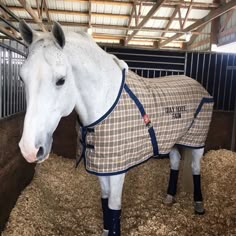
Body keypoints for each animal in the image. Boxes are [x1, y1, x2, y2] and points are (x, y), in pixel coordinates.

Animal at [18, 21, 212, 235]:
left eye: (61, 80)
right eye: (21, 78)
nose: (29, 149)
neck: (106, 101)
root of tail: (198, 85)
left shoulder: (118, 169)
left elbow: (113, 205)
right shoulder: (102, 166)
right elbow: (104, 200)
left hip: (197, 141)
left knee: (195, 168)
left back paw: (199, 205)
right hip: (172, 140)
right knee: (176, 160)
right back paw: (169, 197)